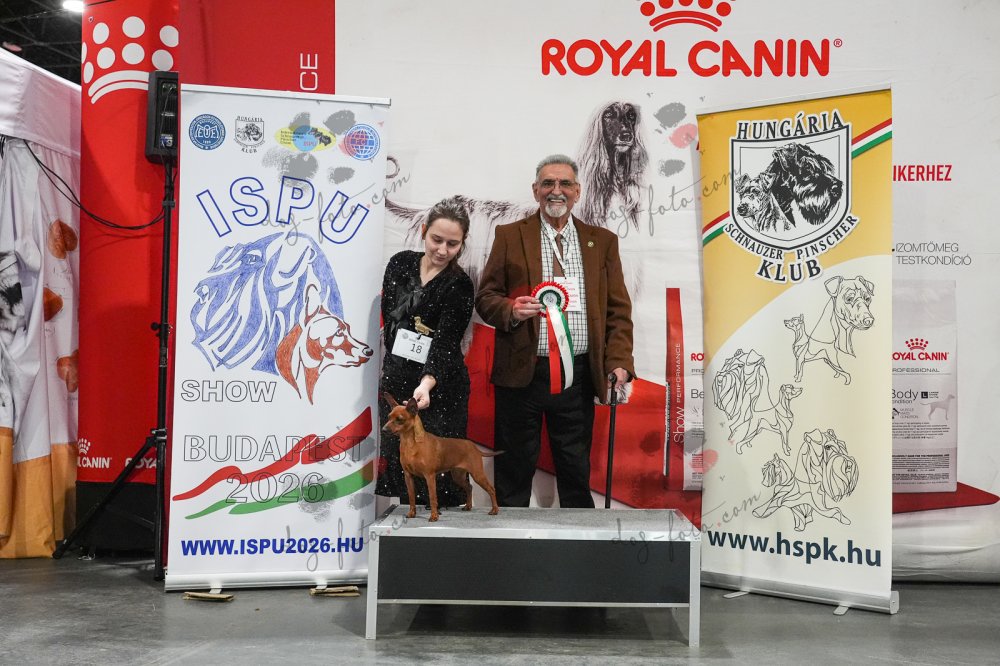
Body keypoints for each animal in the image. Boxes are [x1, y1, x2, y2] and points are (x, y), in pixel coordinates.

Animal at [381, 393, 500, 521]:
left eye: (399, 419)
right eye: (388, 417)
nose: (383, 430)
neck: (411, 443)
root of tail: (474, 447)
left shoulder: (429, 476)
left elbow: (433, 497)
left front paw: (434, 516)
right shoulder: (408, 476)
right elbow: (412, 497)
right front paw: (412, 513)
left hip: (477, 474)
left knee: (491, 489)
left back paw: (495, 510)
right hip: (458, 476)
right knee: (469, 487)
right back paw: (468, 506)